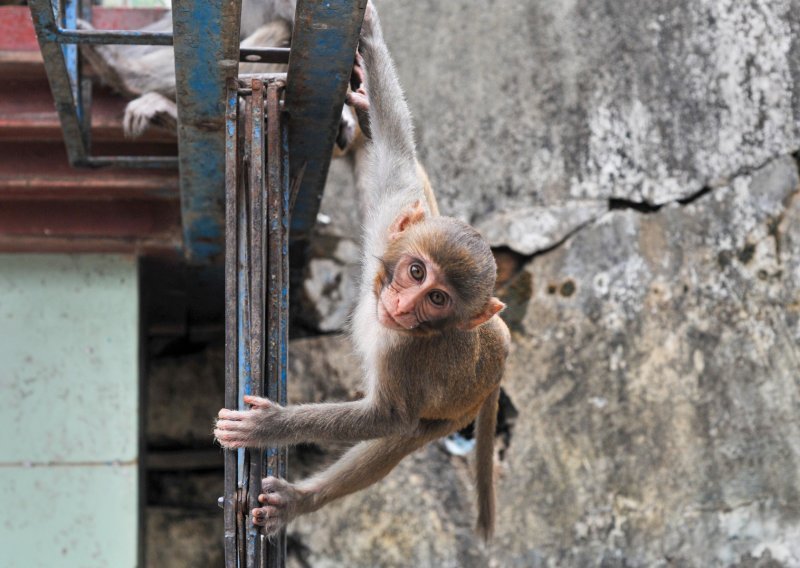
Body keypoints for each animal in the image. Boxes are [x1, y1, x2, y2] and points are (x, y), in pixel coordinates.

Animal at [214, 1, 506, 540]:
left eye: (438, 300)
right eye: (417, 272)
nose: (403, 304)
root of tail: (501, 341)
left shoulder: (411, 360)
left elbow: (387, 419)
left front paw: (271, 427)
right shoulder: (392, 218)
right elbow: (397, 147)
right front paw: (369, 42)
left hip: (456, 410)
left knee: (398, 438)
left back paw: (299, 500)